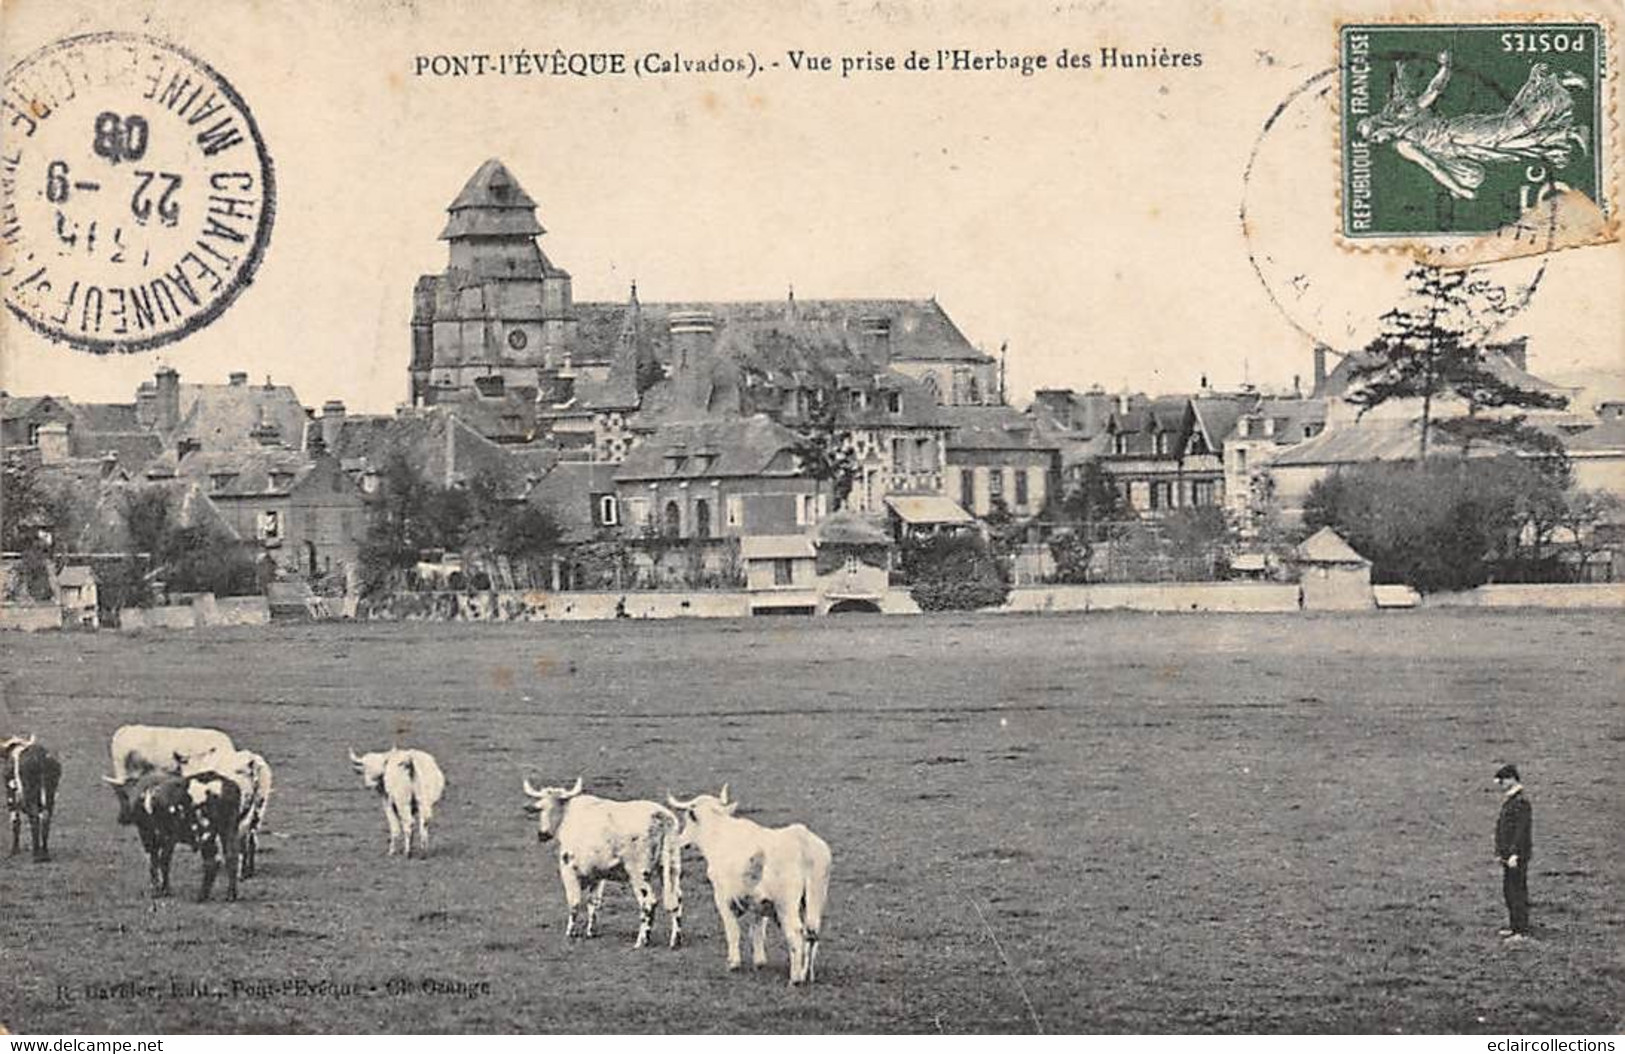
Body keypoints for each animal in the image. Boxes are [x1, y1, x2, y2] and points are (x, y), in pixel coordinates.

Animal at [104, 769, 242, 902]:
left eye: (122, 796)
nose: (121, 818)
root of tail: (227, 786)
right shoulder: (168, 839)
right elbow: (163, 861)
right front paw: (165, 889)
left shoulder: (151, 835)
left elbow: (156, 862)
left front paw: (158, 890)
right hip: (228, 830)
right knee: (232, 857)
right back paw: (231, 895)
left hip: (206, 834)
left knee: (212, 862)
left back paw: (202, 896)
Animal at [523, 776, 682, 948]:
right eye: (540, 808)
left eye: (551, 807)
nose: (543, 834)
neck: (567, 817)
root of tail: (662, 816)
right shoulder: (597, 876)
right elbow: (593, 903)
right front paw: (590, 932)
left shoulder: (568, 870)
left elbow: (574, 902)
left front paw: (570, 932)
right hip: (671, 868)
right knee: (677, 899)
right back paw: (676, 940)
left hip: (638, 873)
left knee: (648, 902)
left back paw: (641, 941)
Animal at [666, 786, 832, 980]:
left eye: (688, 818)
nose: (680, 840)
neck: (719, 835)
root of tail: (802, 840)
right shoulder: (759, 902)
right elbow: (757, 930)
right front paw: (759, 961)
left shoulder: (722, 898)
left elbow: (733, 931)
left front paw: (733, 963)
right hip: (814, 899)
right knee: (812, 934)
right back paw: (808, 974)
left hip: (787, 904)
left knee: (797, 932)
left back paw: (796, 978)